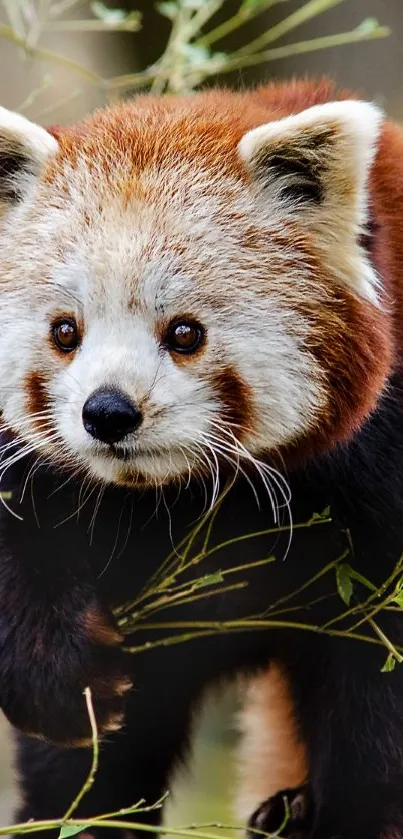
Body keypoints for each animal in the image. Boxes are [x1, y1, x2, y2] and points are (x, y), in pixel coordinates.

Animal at [0, 80, 402, 839]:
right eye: (65, 332)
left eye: (185, 333)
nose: (107, 412)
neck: (184, 499)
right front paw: (57, 677)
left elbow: (376, 692)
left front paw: (358, 815)